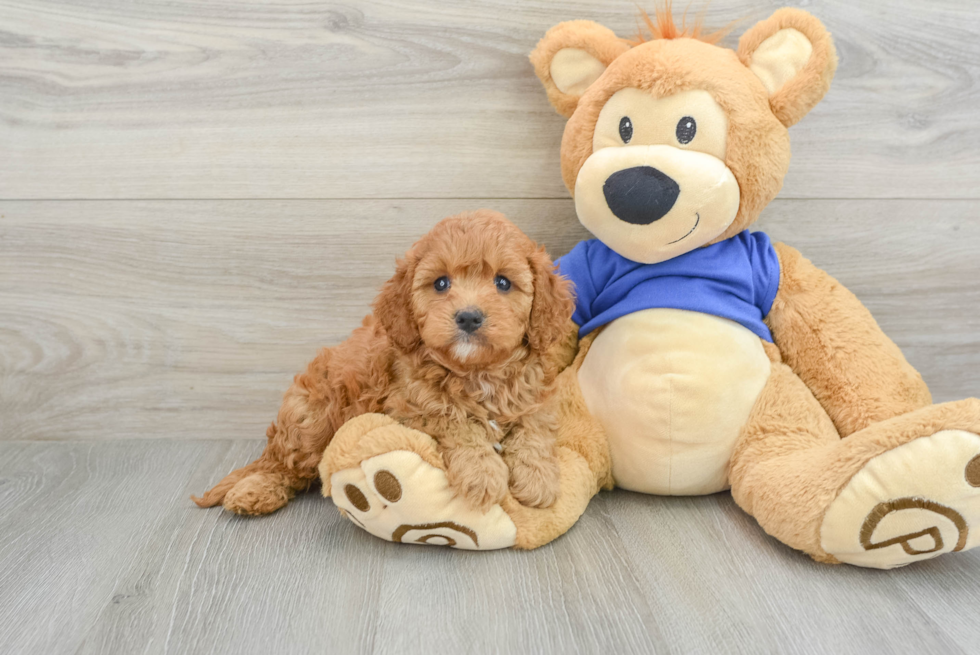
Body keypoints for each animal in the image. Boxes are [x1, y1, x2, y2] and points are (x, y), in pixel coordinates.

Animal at [193, 210, 576, 512]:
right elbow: (457, 422)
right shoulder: (410, 406)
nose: (468, 317)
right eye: (441, 283)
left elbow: (534, 431)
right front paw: (483, 474)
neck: (476, 371)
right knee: (285, 466)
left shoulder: (538, 396)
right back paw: (255, 491)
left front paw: (538, 480)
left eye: (503, 282)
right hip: (313, 420)